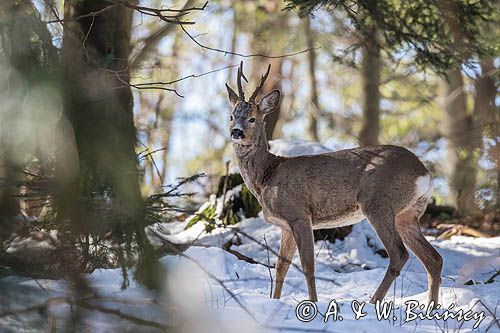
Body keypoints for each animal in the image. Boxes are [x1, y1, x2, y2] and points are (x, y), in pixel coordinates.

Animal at [226, 61, 442, 304]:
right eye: (232, 116)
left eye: (252, 118)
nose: (236, 132)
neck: (266, 176)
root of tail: (424, 172)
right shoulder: (285, 225)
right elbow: (281, 266)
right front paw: (275, 300)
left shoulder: (299, 214)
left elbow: (307, 265)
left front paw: (312, 302)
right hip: (408, 213)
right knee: (434, 259)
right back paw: (431, 307)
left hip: (378, 202)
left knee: (399, 254)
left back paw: (373, 301)